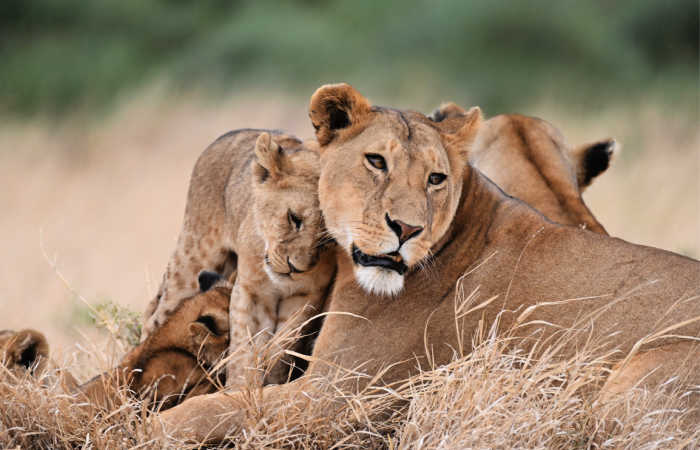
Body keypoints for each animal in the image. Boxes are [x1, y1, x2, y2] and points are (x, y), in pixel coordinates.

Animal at [143, 129, 336, 386]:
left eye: (327, 240)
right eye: (294, 218)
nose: (295, 268)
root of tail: (227, 135)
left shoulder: (307, 296)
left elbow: (283, 342)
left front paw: (271, 377)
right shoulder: (249, 290)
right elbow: (243, 344)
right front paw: (239, 387)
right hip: (192, 261)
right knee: (154, 318)